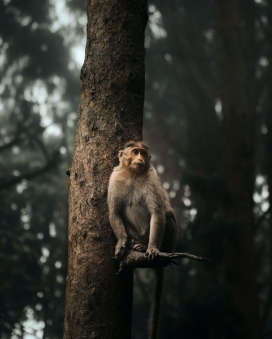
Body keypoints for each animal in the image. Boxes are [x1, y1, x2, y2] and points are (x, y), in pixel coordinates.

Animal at [107, 140, 177, 339]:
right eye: (135, 151)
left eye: (143, 153)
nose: (140, 159)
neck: (132, 175)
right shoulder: (114, 179)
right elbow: (115, 212)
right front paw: (122, 242)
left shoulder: (152, 177)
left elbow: (157, 212)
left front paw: (152, 248)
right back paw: (134, 244)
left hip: (167, 242)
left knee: (167, 213)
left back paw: (146, 246)